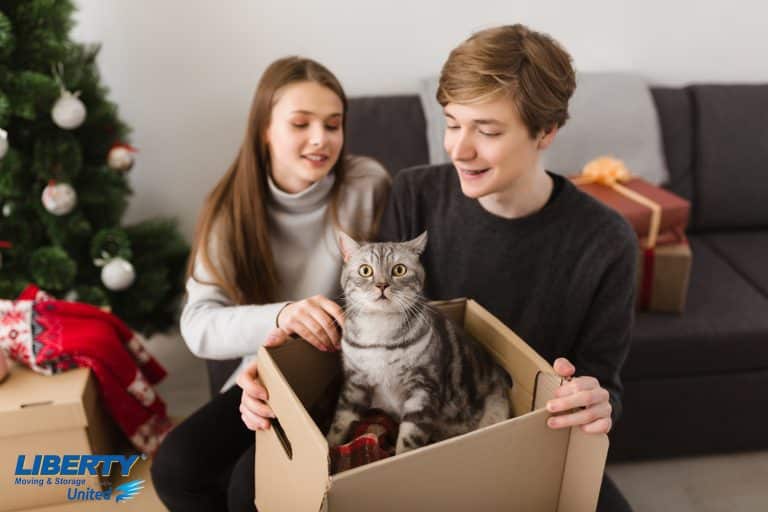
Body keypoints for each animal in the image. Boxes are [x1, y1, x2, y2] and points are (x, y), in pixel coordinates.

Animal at [324, 230, 510, 454]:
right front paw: (329, 448)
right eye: (365, 270)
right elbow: (340, 422)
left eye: (399, 270)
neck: (380, 331)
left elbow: (408, 441)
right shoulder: (354, 384)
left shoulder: (423, 390)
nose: (382, 285)